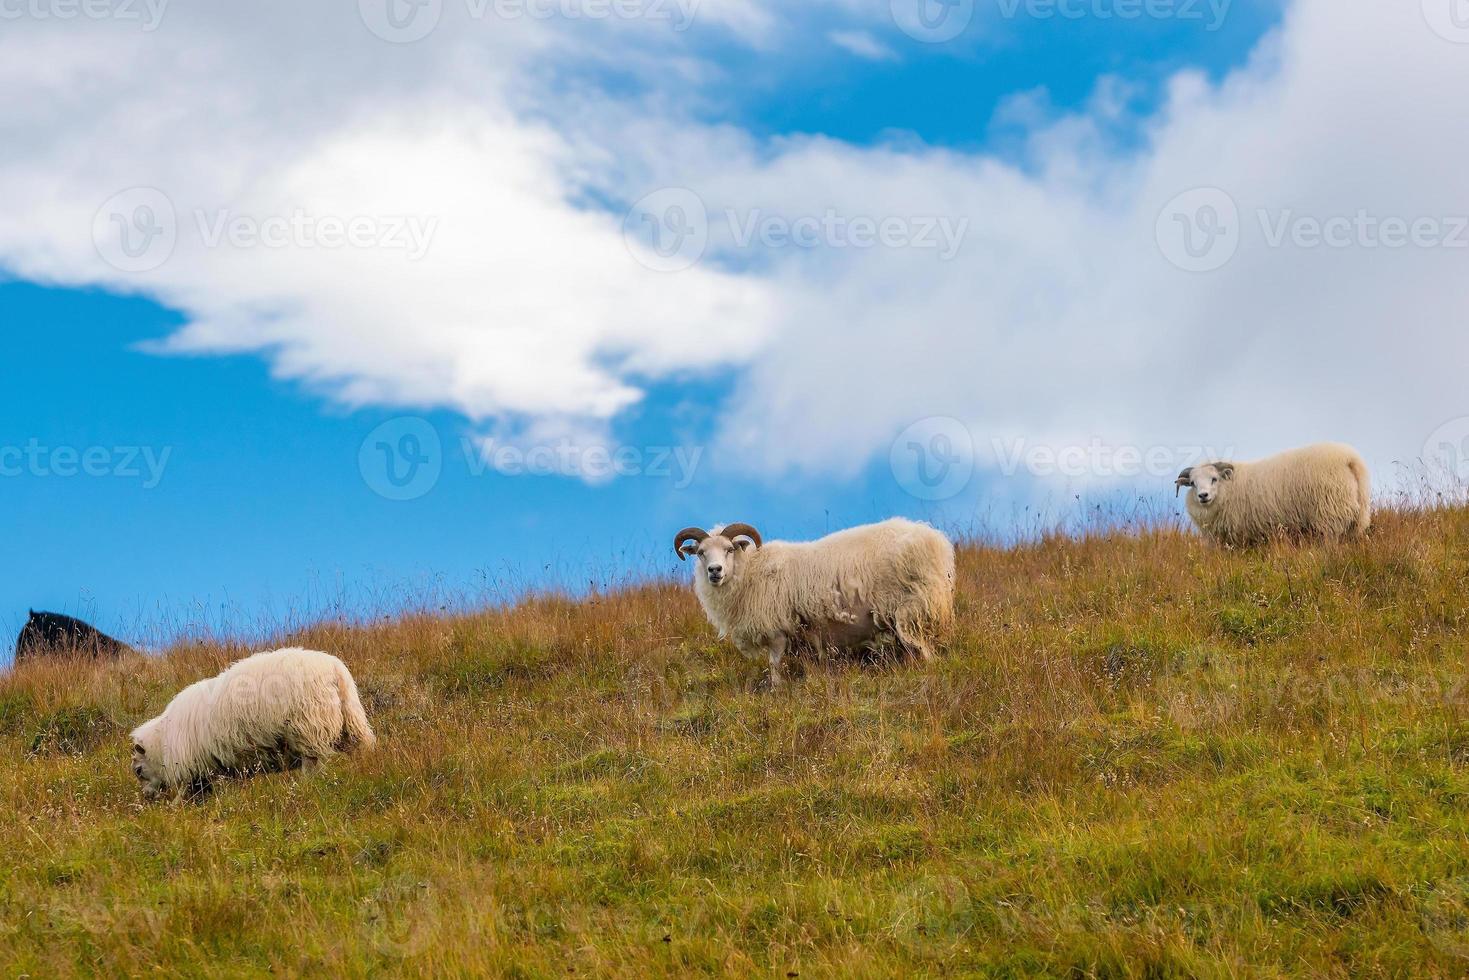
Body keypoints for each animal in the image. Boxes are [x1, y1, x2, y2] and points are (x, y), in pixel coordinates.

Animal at [130, 646, 379, 799]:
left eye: (139, 771)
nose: (148, 798)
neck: (163, 741)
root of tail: (334, 669)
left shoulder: (196, 765)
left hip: (309, 727)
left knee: (313, 762)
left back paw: (307, 784)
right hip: (351, 719)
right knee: (363, 745)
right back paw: (367, 768)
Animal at [672, 517, 957, 687]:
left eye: (729, 549)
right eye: (701, 553)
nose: (715, 571)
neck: (750, 571)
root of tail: (934, 540)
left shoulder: (777, 629)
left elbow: (774, 664)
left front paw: (777, 690)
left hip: (911, 608)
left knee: (924, 649)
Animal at [1175, 443, 1369, 549]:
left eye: (1214, 479)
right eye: (1192, 483)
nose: (1203, 495)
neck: (1228, 488)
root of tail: (1349, 459)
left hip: (1330, 512)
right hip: (1358, 516)